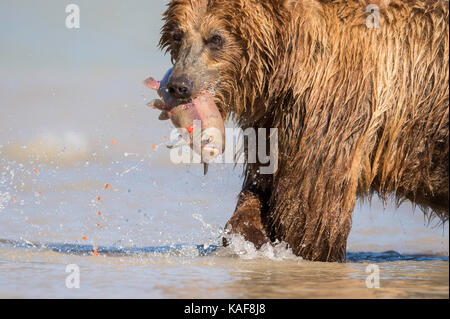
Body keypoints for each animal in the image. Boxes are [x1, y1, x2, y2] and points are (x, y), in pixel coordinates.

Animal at [157, 0, 446, 262]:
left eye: (216, 38)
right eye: (177, 34)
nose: (179, 85)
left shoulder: (336, 101)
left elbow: (310, 210)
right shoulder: (273, 120)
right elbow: (262, 183)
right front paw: (246, 235)